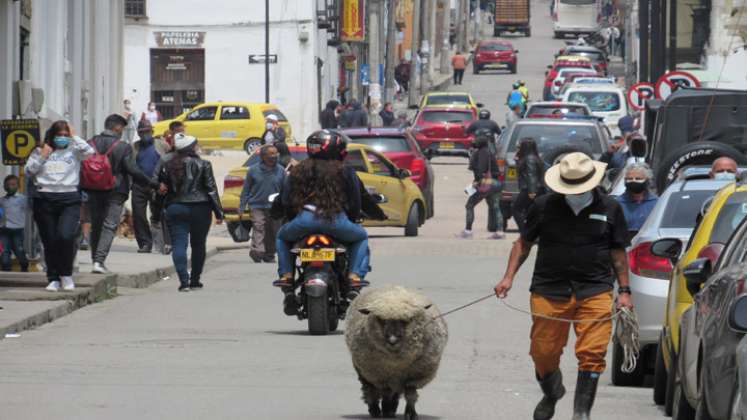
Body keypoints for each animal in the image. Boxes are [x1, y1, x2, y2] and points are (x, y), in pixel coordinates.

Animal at [346, 286, 448, 420]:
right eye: (381, 320)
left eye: (407, 320)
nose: (392, 340)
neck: (396, 363)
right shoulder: (380, 375)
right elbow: (385, 393)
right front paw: (385, 409)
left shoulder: (414, 375)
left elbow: (410, 394)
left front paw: (410, 413)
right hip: (365, 371)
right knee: (370, 390)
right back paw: (376, 410)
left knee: (394, 391)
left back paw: (391, 408)